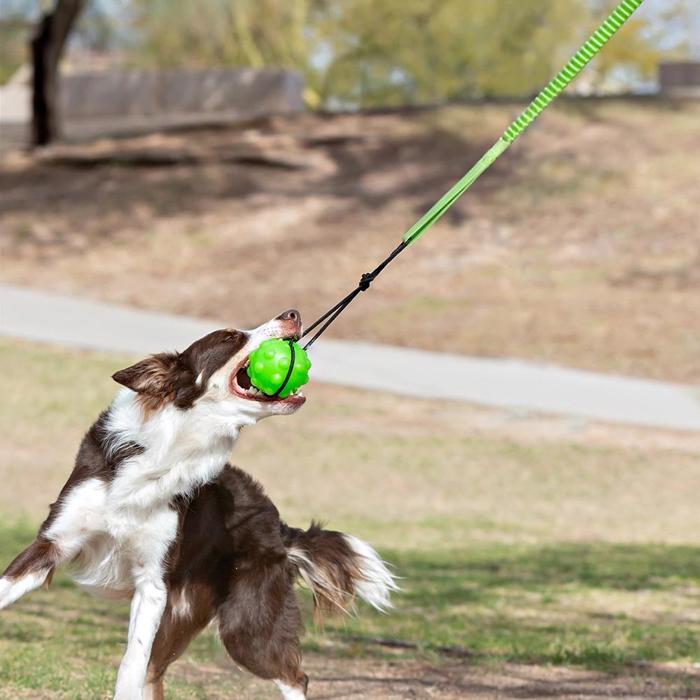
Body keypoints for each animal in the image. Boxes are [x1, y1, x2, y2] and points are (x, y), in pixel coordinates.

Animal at [0, 312, 394, 700]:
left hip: (245, 626)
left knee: (296, 677)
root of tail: (279, 526)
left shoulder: (152, 583)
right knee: (155, 675)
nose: (293, 314)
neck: (170, 445)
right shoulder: (53, 543)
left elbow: (130, 665)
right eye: (230, 337)